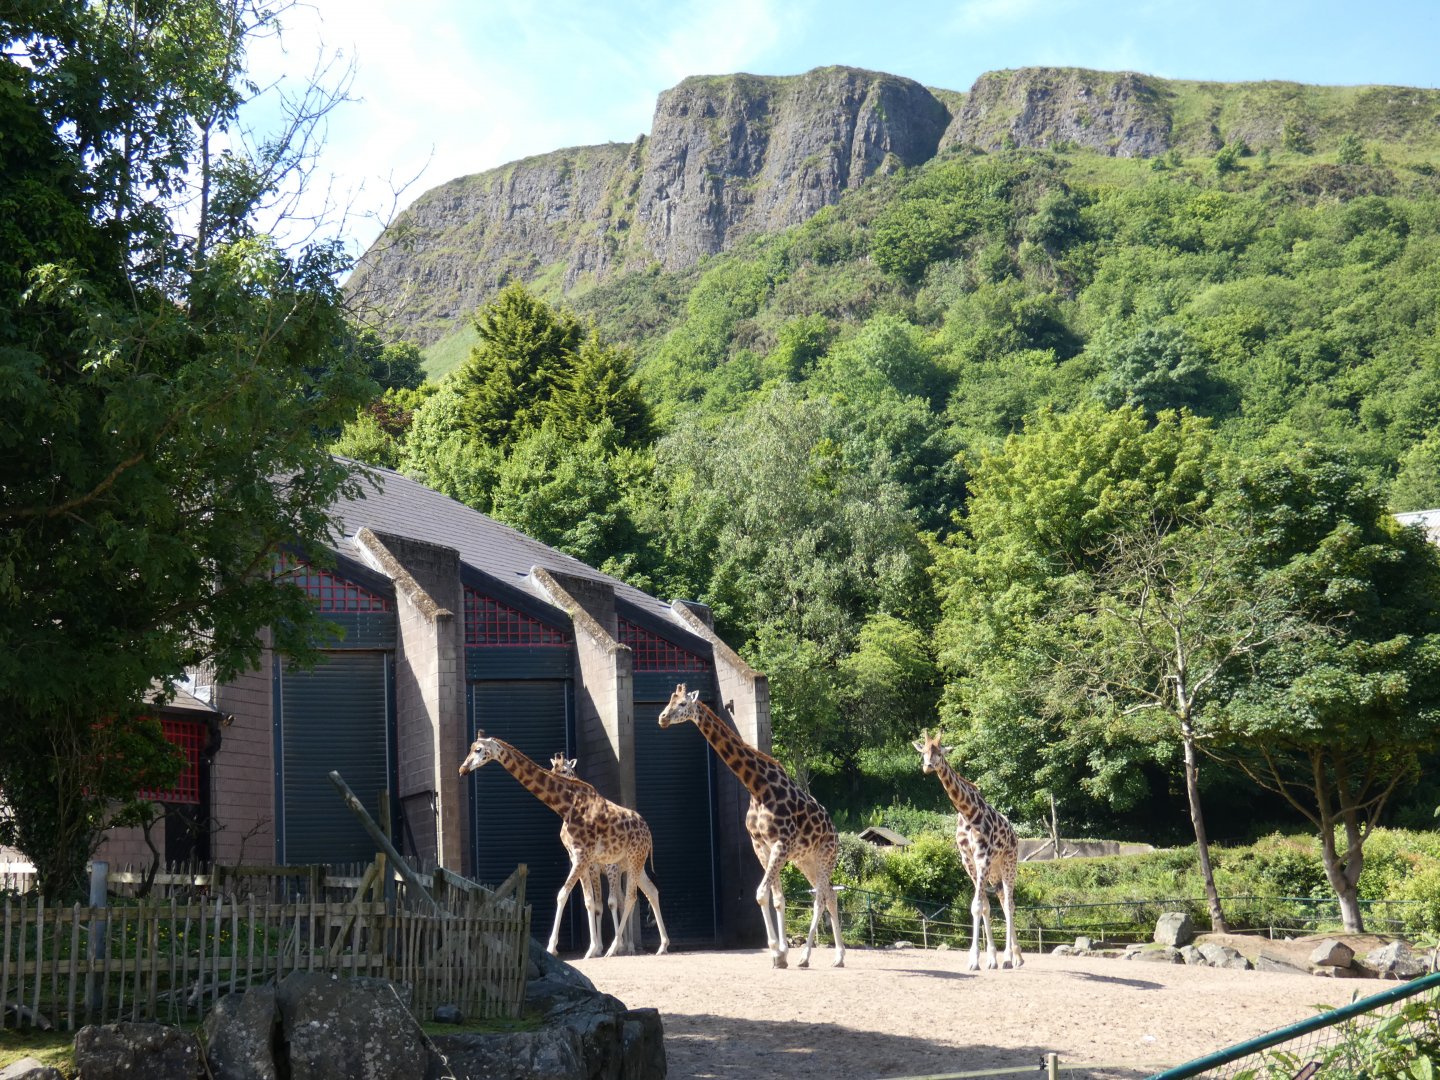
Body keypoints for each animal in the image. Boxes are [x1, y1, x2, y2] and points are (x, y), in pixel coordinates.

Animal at [457, 733, 669, 958]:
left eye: (478, 749)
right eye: (471, 748)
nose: (462, 769)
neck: (565, 805)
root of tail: (648, 831)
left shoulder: (584, 855)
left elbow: (563, 895)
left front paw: (552, 947)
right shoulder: (578, 857)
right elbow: (589, 901)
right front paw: (592, 949)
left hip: (633, 858)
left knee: (629, 897)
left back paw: (615, 947)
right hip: (633, 863)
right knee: (651, 891)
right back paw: (662, 945)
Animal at [657, 684, 844, 969]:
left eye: (682, 704)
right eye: (669, 700)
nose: (663, 718)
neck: (757, 787)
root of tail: (835, 833)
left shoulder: (780, 843)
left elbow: (761, 894)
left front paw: (778, 952)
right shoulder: (761, 846)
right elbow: (776, 898)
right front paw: (780, 954)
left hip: (825, 857)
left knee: (820, 898)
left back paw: (807, 957)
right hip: (806, 861)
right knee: (831, 896)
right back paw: (838, 957)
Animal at [913, 728, 1022, 971]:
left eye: (940, 752)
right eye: (924, 752)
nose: (928, 766)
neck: (968, 812)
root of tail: (1014, 834)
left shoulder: (983, 858)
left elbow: (977, 906)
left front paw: (974, 961)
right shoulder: (968, 861)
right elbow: (983, 907)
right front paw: (988, 959)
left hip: (1009, 863)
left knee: (1010, 905)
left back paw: (1010, 958)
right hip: (995, 872)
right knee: (1003, 902)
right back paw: (1015, 957)